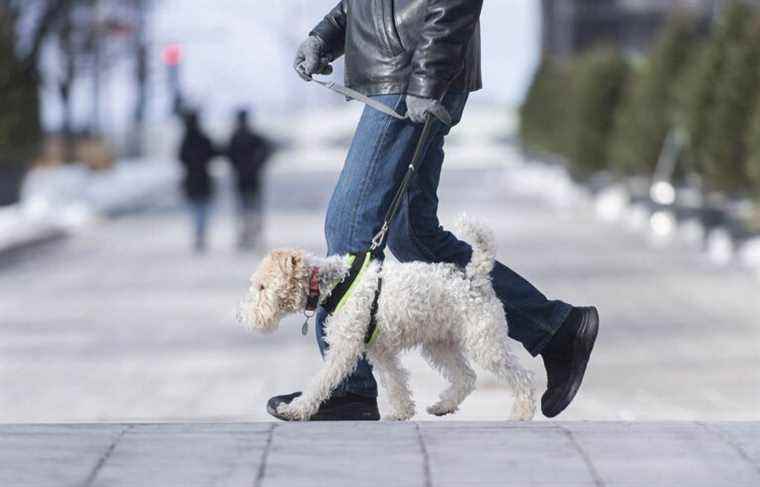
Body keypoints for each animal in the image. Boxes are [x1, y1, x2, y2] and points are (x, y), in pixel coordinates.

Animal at [238, 219, 536, 422]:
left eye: (262, 286)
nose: (241, 317)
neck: (335, 283)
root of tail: (475, 276)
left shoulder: (345, 348)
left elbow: (320, 381)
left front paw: (295, 409)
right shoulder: (378, 350)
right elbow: (395, 381)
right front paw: (402, 412)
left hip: (484, 342)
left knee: (523, 378)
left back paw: (522, 413)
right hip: (440, 343)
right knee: (466, 377)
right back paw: (443, 406)